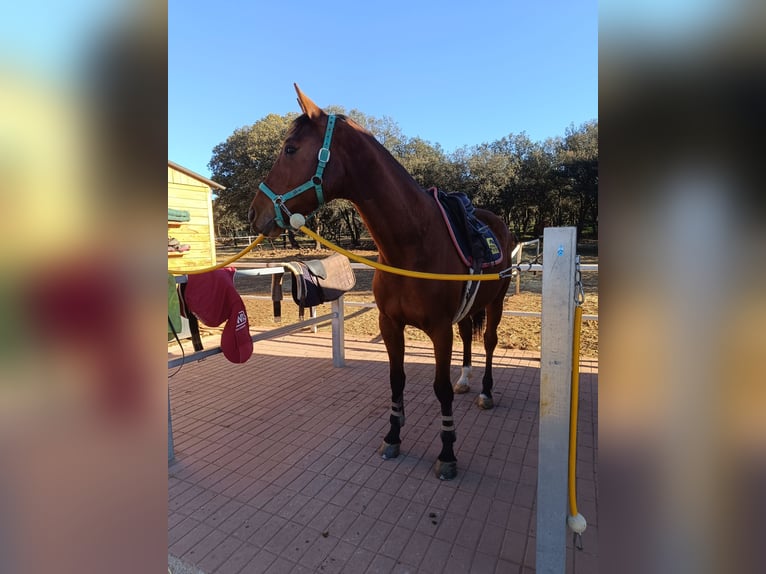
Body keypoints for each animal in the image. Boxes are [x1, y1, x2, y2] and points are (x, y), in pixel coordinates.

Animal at [248, 85, 515, 480]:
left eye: (290, 148)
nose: (255, 212)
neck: (413, 244)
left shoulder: (439, 330)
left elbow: (440, 389)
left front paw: (447, 453)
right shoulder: (389, 324)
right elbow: (396, 379)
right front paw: (392, 436)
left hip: (496, 303)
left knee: (490, 342)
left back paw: (485, 392)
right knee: (469, 334)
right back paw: (466, 380)